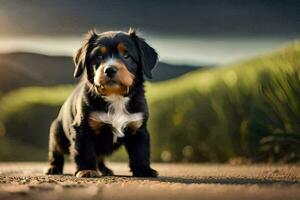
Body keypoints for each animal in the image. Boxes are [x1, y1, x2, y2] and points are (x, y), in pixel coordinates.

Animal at [44, 28, 158, 177]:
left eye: (126, 55)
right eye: (98, 56)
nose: (110, 69)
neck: (115, 96)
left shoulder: (138, 128)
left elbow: (140, 152)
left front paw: (144, 170)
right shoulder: (83, 128)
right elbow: (85, 151)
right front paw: (87, 170)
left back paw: (104, 169)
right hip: (57, 132)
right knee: (55, 151)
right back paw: (53, 168)